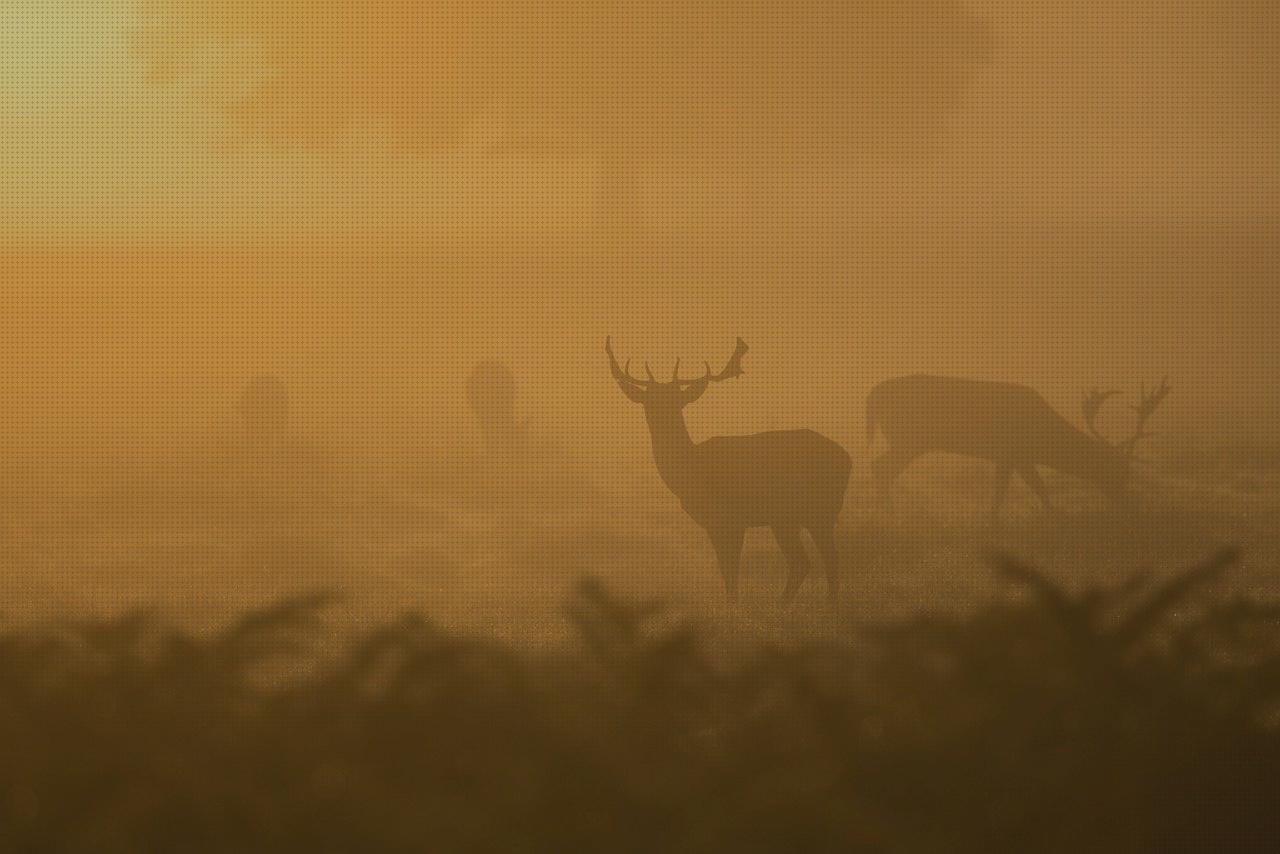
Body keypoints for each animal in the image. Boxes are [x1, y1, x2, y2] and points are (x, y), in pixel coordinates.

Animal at [606, 338, 849, 604]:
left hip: (817, 510)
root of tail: (847, 459)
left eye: (676, 401)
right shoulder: (718, 522)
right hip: (790, 517)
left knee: (825, 559)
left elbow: (730, 570)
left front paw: (733, 605)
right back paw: (787, 604)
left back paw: (823, 604)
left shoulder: (729, 518)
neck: (690, 472)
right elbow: (727, 570)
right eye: (649, 401)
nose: (661, 419)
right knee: (805, 561)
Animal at [870, 376, 1172, 524]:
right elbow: (1020, 488)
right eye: (1117, 472)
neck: (1042, 438)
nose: (1128, 507)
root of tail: (870, 397)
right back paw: (890, 516)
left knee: (880, 466)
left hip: (906, 440)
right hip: (909, 439)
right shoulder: (1011, 452)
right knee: (881, 468)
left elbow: (1028, 487)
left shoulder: (1015, 457)